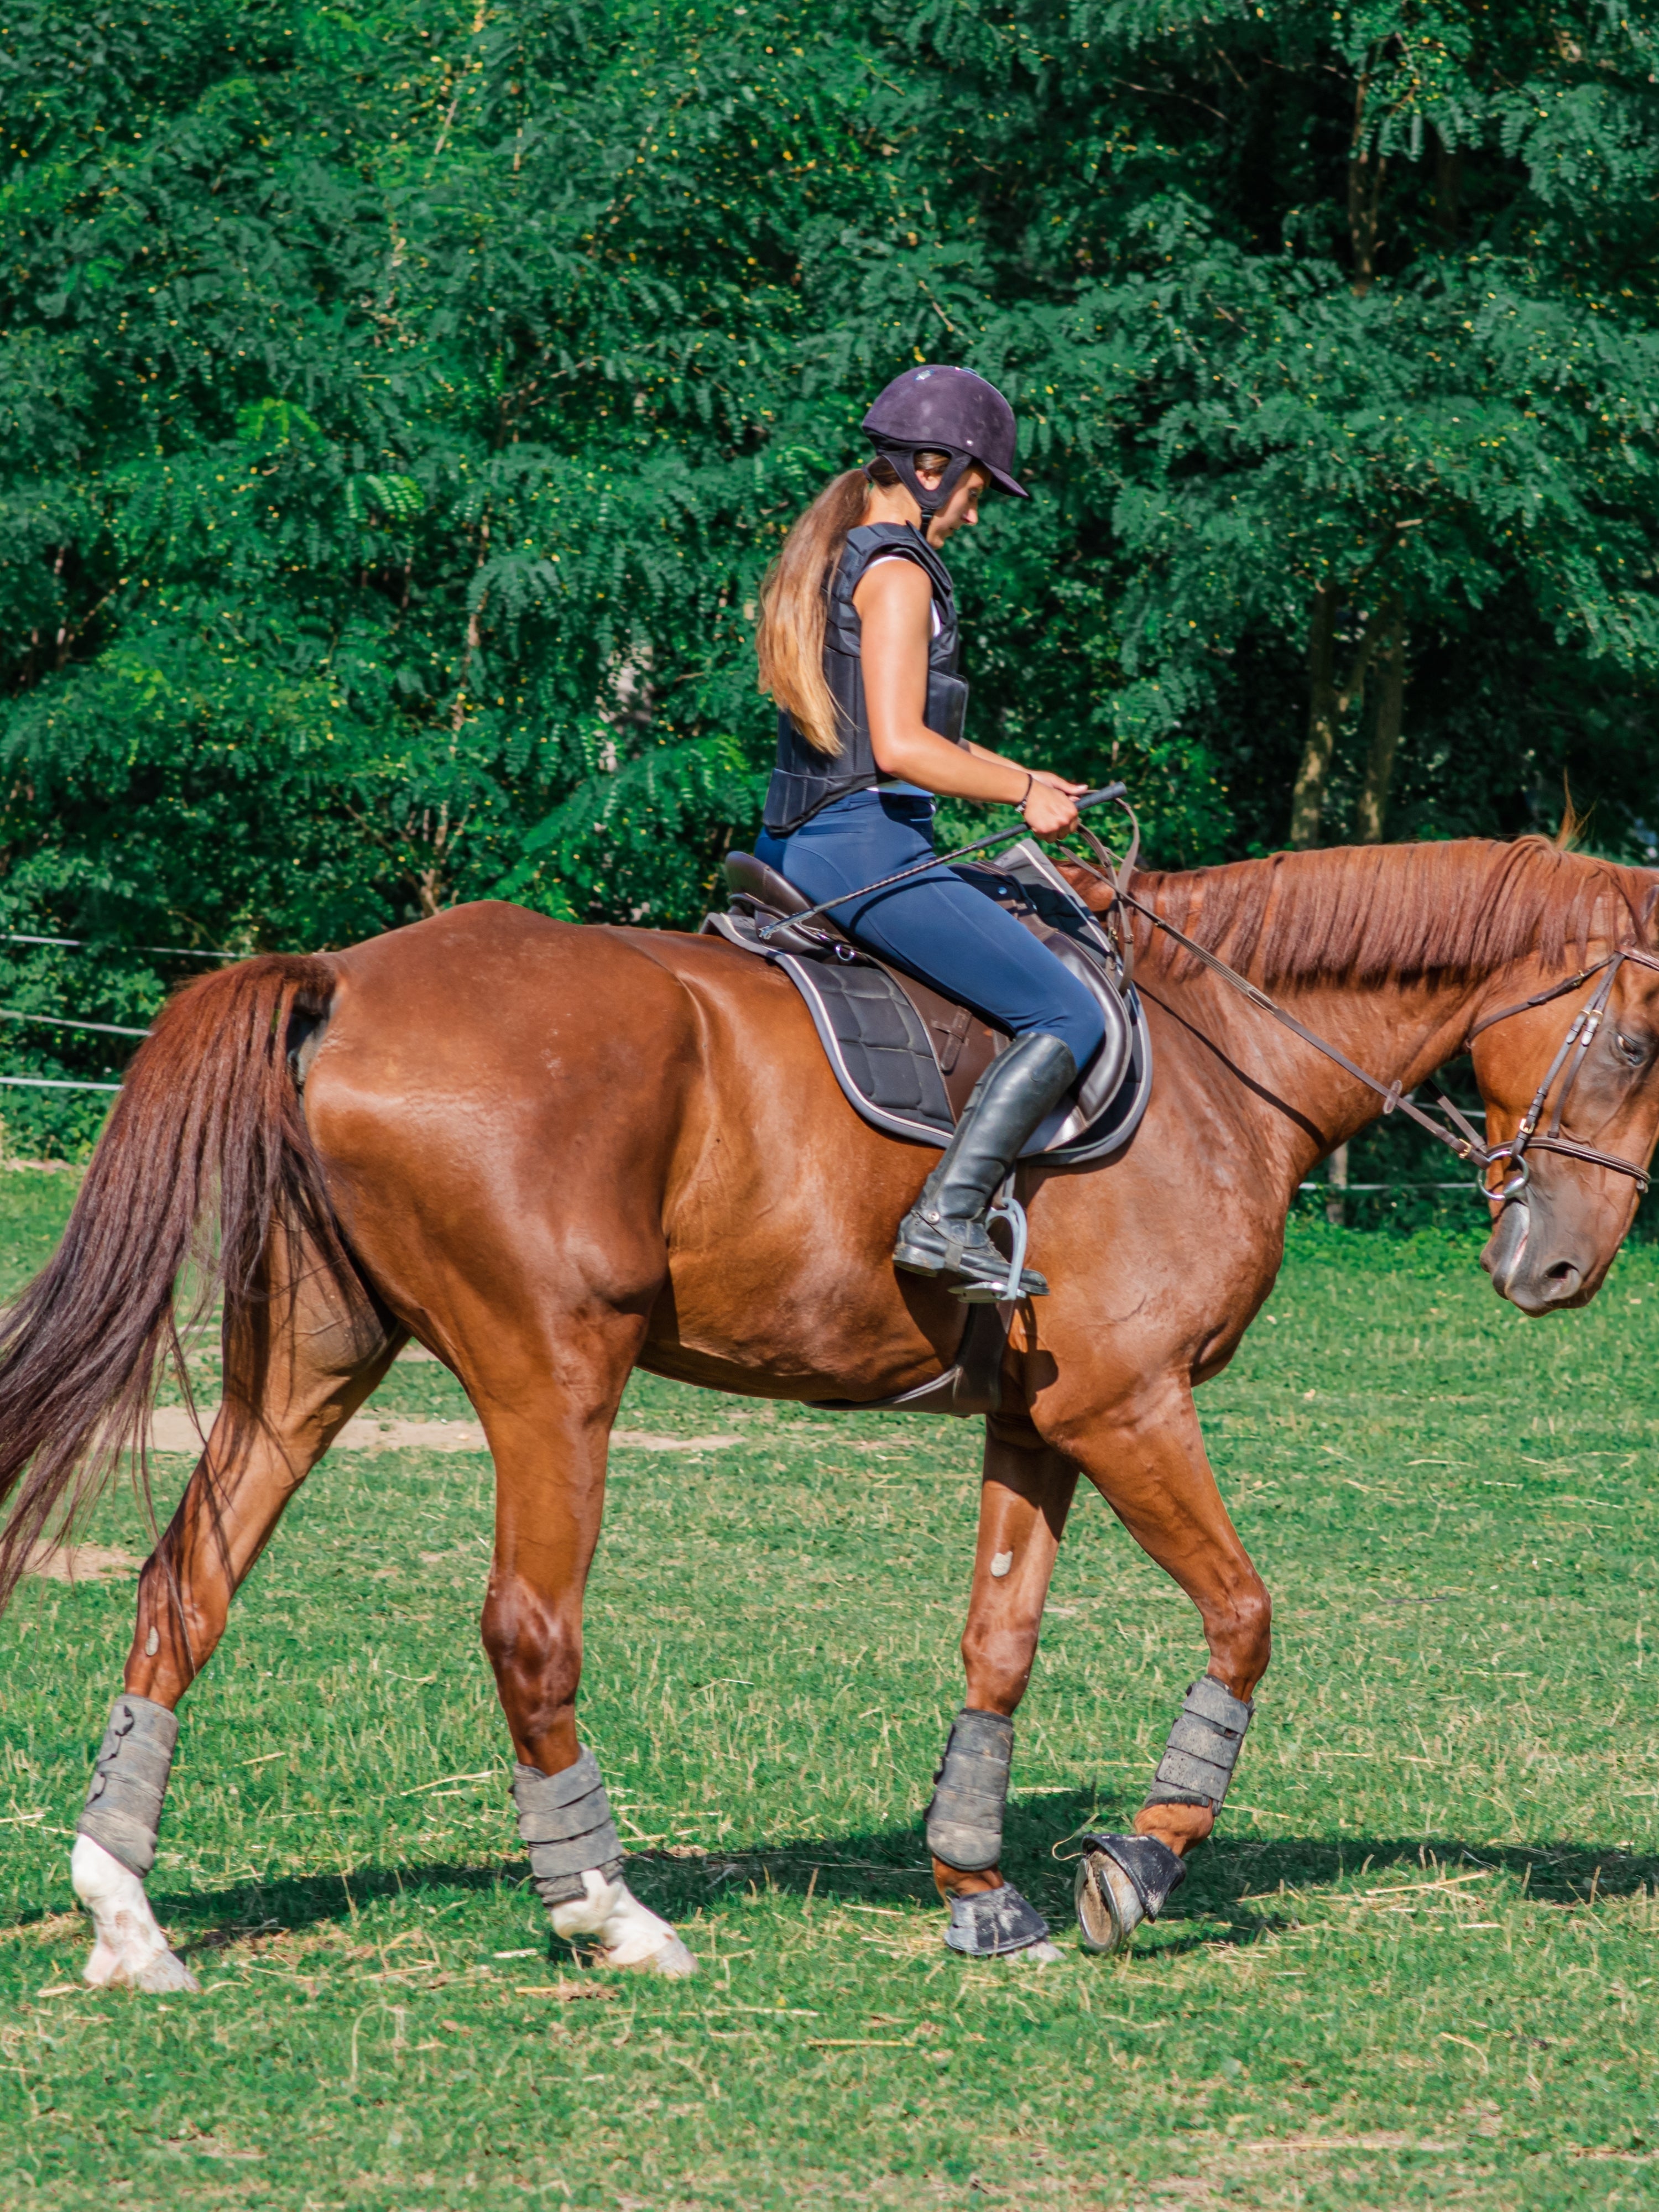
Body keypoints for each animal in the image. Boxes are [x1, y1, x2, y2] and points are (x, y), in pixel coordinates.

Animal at [3, 836, 1658, 1988]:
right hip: (554, 1372)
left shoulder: (1040, 1424)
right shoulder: (1129, 1407)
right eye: (1641, 1042)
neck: (1215, 1057)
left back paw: (126, 1917)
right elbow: (1245, 1616)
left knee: (186, 1583)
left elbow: (1000, 1641)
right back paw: (611, 1915)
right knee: (528, 1630)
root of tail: (347, 980)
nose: (1559, 1268)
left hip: (312, 1361)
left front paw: (979, 1894)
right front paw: (1138, 1867)